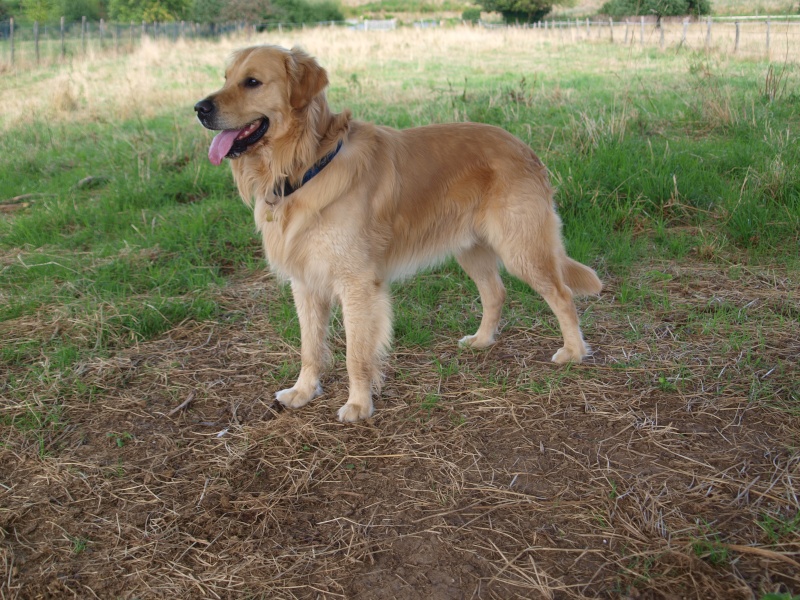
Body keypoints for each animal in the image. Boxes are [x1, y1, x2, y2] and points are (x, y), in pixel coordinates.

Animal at [197, 45, 604, 422]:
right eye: (226, 77)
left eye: (252, 82)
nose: (199, 108)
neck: (305, 165)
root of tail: (522, 146)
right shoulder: (306, 282)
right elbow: (310, 347)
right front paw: (303, 392)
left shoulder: (357, 284)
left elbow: (356, 353)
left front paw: (359, 404)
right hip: (471, 249)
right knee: (495, 292)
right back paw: (482, 340)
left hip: (521, 248)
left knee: (561, 295)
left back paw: (573, 352)